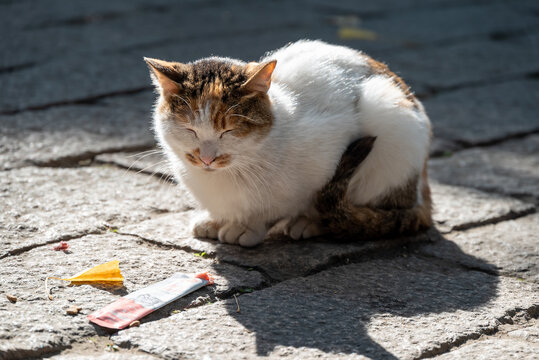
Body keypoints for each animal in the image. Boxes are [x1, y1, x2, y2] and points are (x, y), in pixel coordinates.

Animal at [146, 40, 432, 248]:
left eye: (228, 131)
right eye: (190, 130)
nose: (207, 158)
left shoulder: (327, 153)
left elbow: (283, 206)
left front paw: (248, 227)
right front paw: (217, 221)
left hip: (388, 118)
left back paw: (310, 224)